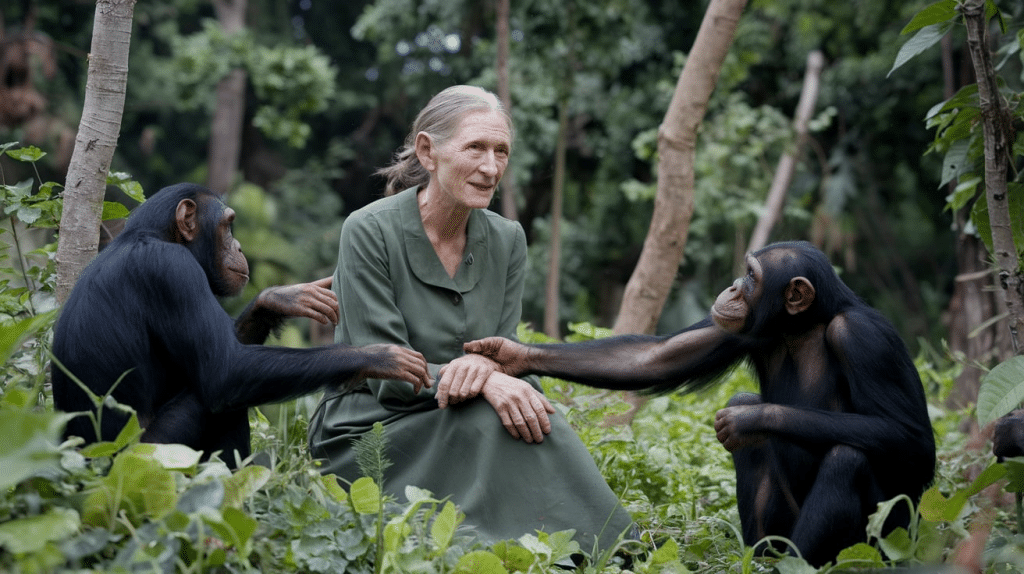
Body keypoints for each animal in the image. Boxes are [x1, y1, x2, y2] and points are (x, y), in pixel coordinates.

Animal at [54, 183, 430, 466]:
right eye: (227, 225)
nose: (237, 246)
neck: (154, 235)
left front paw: (277, 298)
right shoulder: (173, 271)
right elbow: (225, 368)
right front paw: (377, 358)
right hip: (152, 456)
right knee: (225, 400)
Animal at [454, 238, 937, 564]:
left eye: (753, 277)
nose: (733, 287)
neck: (802, 327)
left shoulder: (865, 340)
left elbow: (909, 437)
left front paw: (750, 417)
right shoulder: (743, 328)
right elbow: (655, 358)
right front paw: (504, 355)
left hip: (891, 539)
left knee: (846, 459)